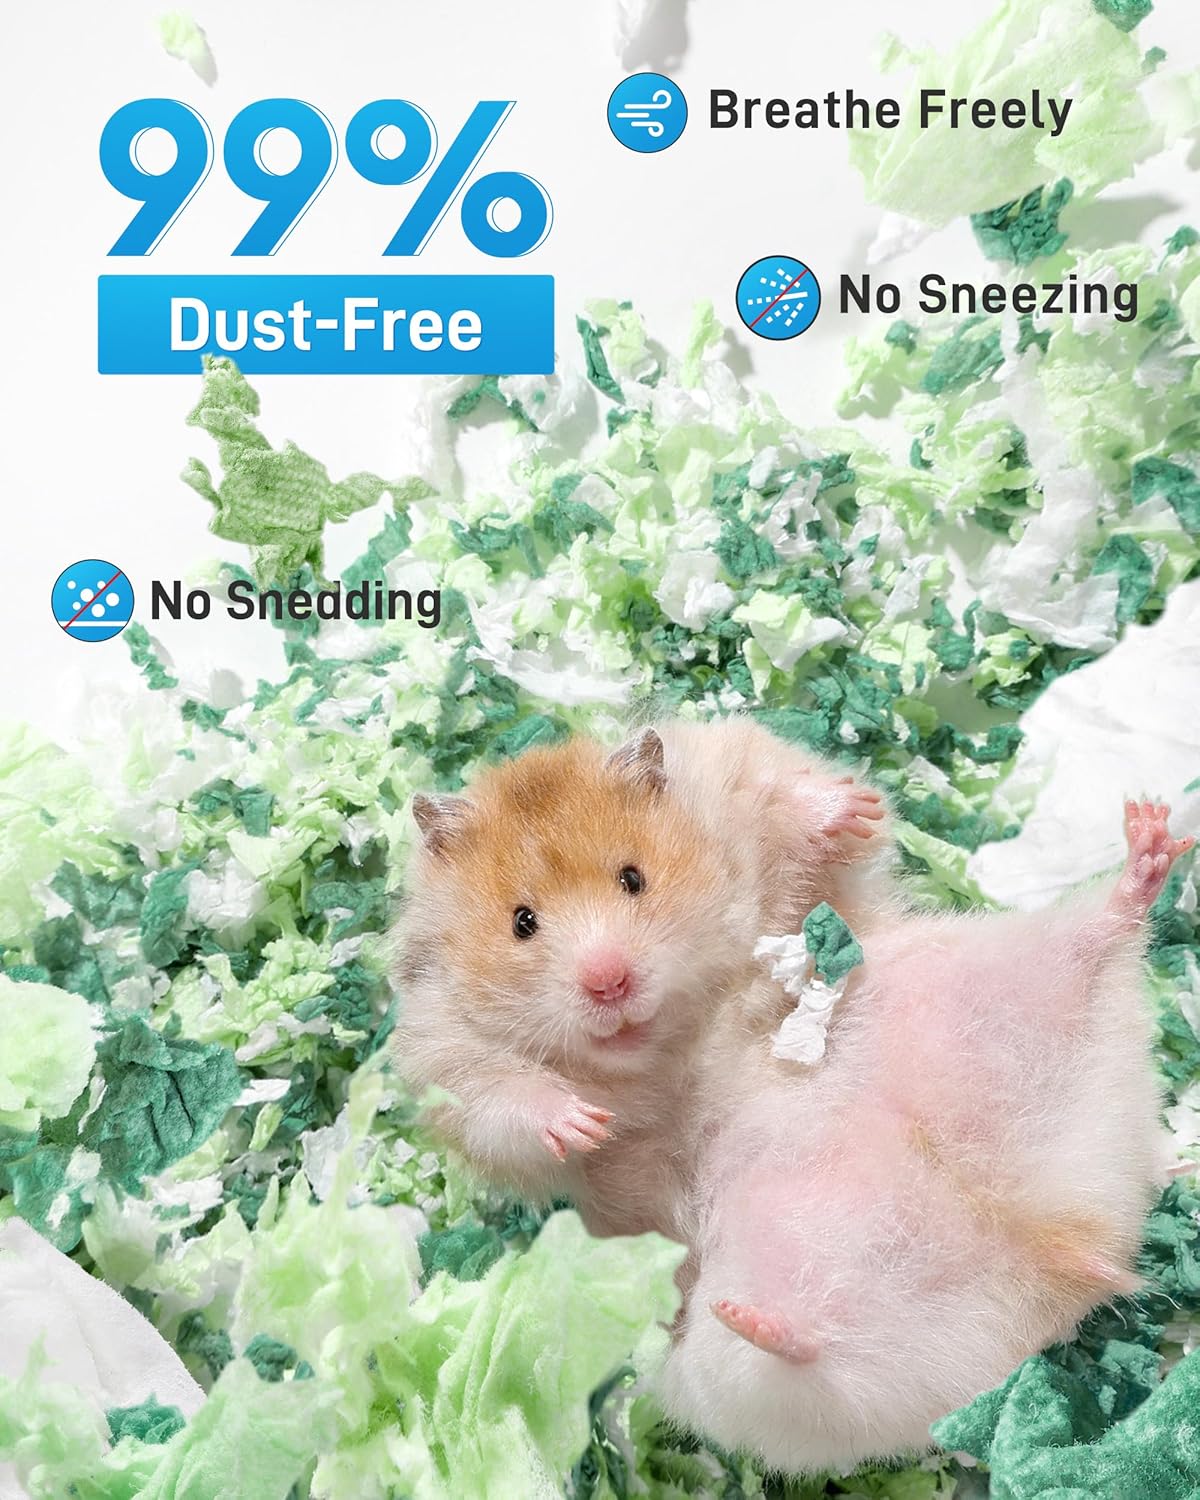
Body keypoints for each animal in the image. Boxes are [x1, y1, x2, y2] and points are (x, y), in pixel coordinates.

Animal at [392, 720, 1188, 1474]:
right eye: (522, 922)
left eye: (633, 878)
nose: (608, 982)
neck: (671, 1041)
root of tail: (1046, 1245)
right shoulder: (443, 1055)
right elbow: (504, 1099)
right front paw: (587, 1122)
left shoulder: (761, 805)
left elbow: (794, 826)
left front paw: (848, 807)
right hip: (758, 1375)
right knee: (808, 1361)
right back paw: (760, 1318)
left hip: (1016, 988)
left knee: (1098, 941)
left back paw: (1148, 839)